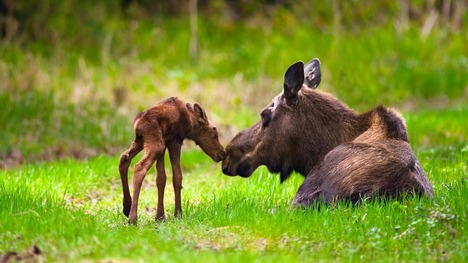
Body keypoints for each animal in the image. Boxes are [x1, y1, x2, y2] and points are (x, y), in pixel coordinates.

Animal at [118, 97, 226, 225]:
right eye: (215, 134)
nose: (223, 153)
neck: (190, 125)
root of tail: (137, 124)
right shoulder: (175, 140)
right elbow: (177, 177)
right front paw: (178, 213)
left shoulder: (165, 143)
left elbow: (161, 179)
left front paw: (160, 216)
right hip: (156, 144)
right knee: (139, 167)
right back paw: (132, 218)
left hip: (142, 141)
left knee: (124, 158)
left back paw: (127, 207)